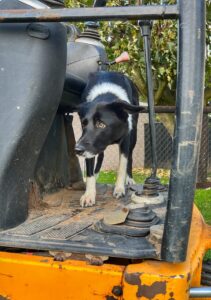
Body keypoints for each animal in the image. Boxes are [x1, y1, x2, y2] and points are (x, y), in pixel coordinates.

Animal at [74, 71, 143, 206]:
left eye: (101, 124)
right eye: (84, 124)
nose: (77, 150)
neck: (105, 95)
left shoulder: (126, 139)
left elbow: (122, 165)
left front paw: (119, 189)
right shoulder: (89, 147)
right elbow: (89, 171)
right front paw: (89, 194)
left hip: (134, 136)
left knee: (130, 157)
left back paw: (130, 179)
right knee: (100, 157)